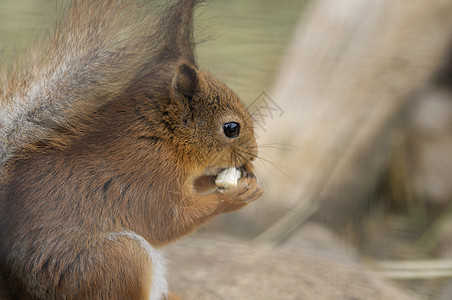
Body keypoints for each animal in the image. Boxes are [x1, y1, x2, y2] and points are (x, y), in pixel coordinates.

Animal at [0, 1, 262, 298]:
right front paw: (235, 196)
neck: (161, 140)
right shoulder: (152, 184)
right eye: (231, 128)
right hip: (118, 258)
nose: (253, 155)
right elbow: (172, 221)